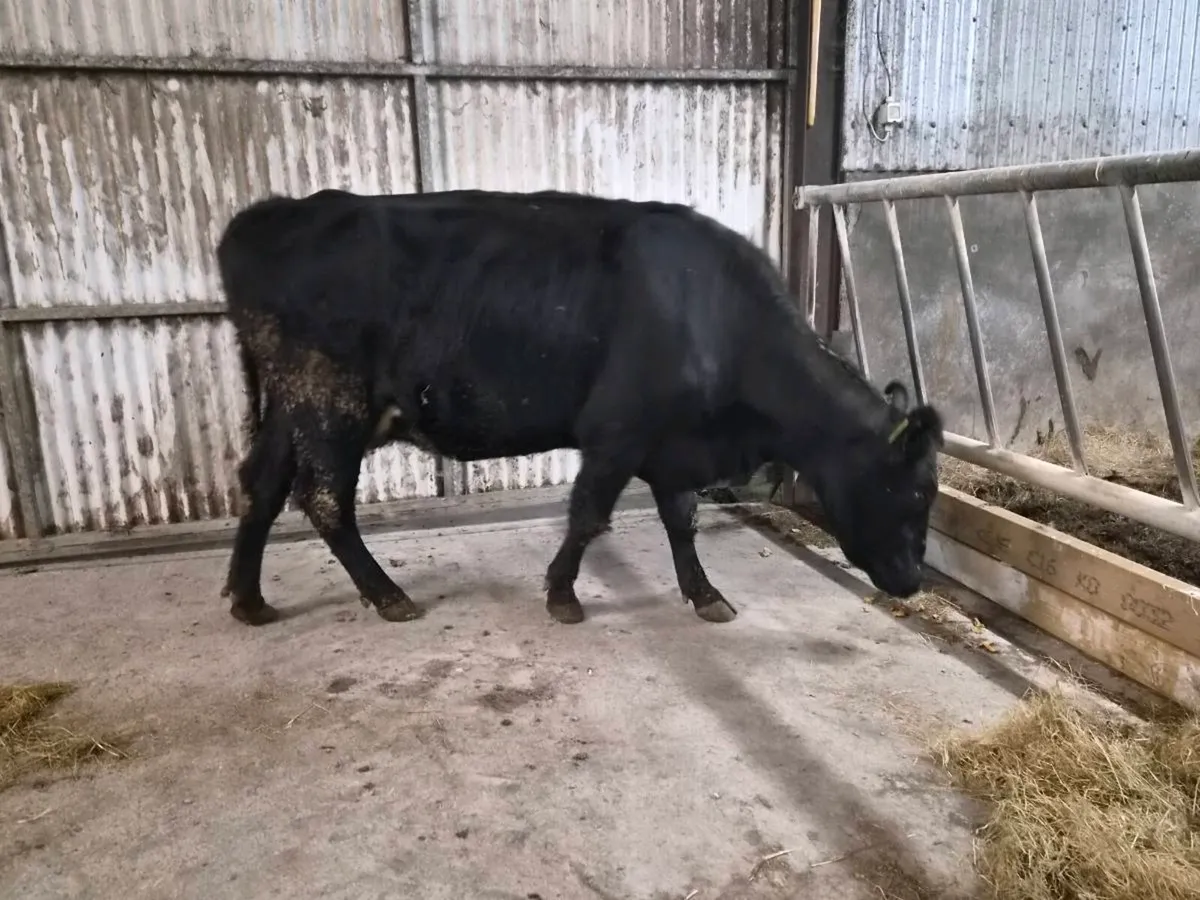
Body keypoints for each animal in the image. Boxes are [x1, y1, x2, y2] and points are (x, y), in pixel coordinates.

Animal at [216, 188, 943, 628]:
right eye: (914, 494)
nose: (913, 581)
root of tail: (273, 213)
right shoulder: (618, 431)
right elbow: (590, 515)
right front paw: (563, 595)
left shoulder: (671, 446)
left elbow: (682, 521)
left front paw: (705, 594)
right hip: (330, 403)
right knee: (324, 500)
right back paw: (388, 595)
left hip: (291, 406)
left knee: (262, 485)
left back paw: (249, 599)